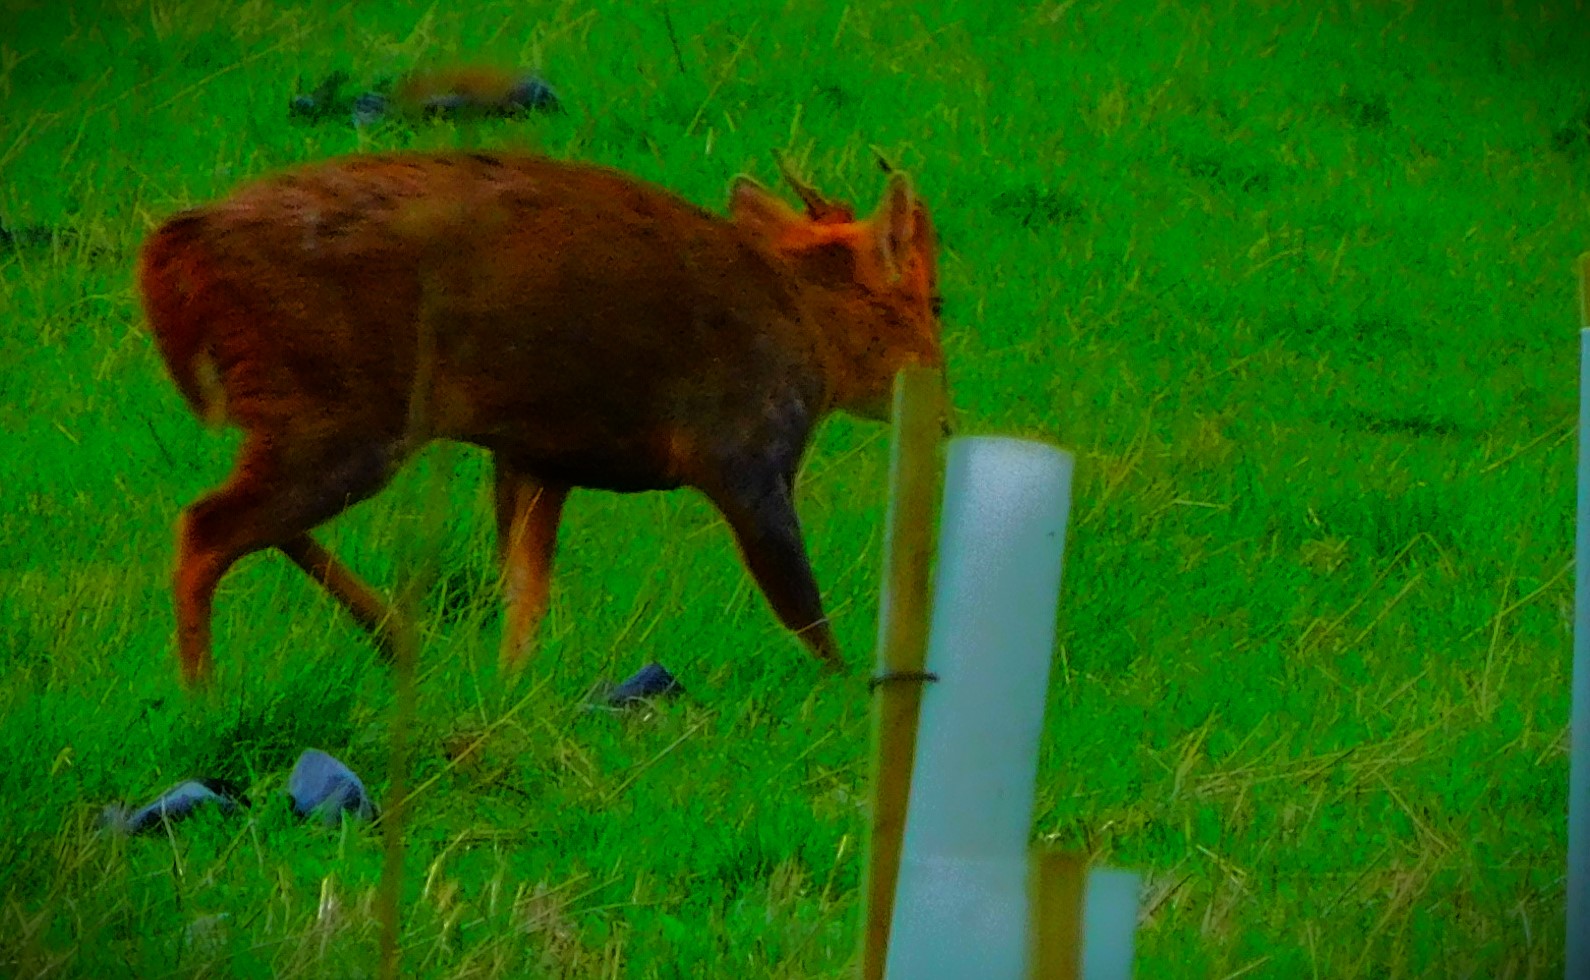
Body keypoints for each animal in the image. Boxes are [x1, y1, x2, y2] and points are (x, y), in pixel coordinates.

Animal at [137, 149, 946, 690]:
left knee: (244, 521)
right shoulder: (744, 450)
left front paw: (508, 694)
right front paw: (859, 691)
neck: (809, 326)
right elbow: (801, 603)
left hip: (311, 415)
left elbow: (524, 599)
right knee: (205, 530)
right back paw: (205, 696)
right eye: (935, 302)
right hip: (338, 412)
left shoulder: (536, 456)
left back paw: (399, 641)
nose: (942, 414)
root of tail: (178, 248)